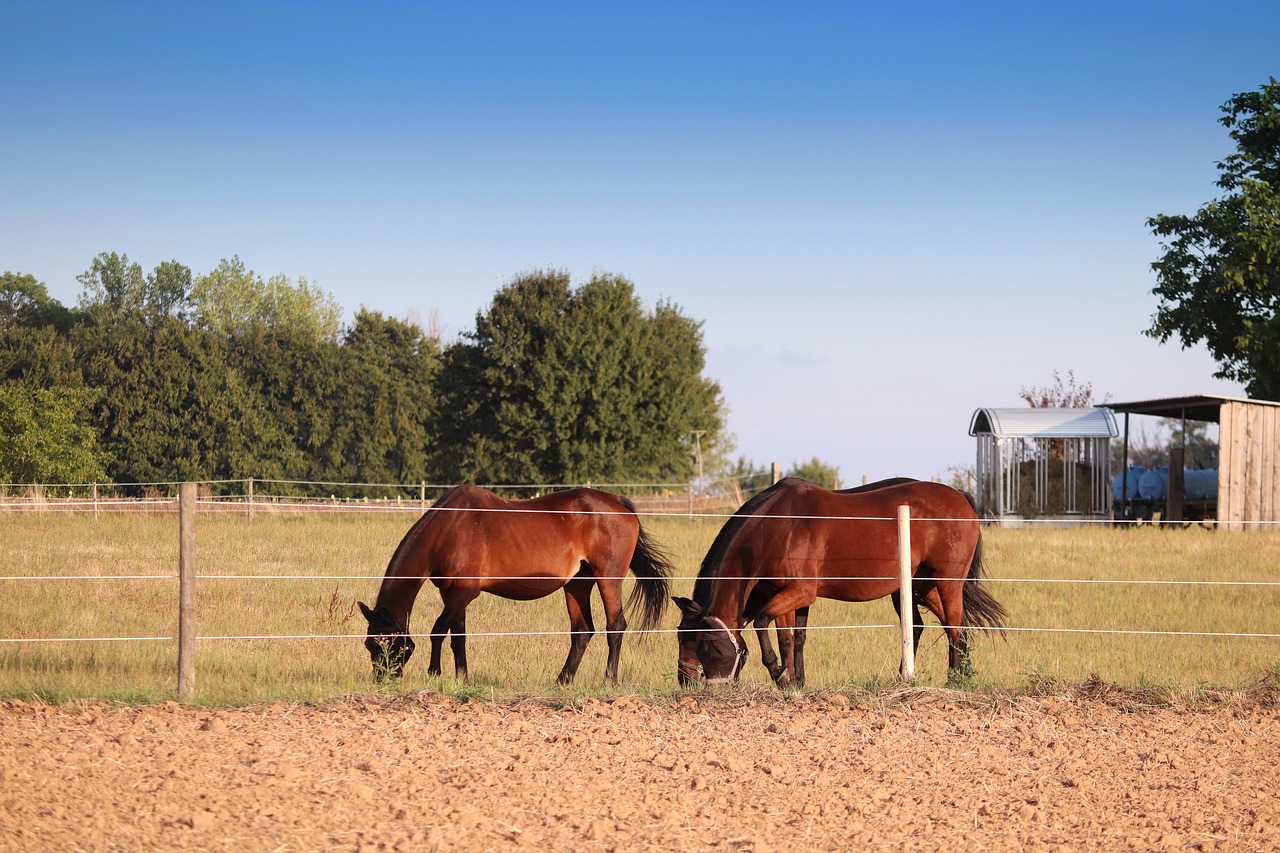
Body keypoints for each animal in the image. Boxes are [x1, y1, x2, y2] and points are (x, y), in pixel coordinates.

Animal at [360, 484, 675, 686]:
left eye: (386, 643)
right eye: (369, 644)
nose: (383, 679)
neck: (449, 527)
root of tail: (619, 503)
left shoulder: (464, 593)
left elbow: (438, 631)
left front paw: (434, 673)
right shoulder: (452, 594)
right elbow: (457, 637)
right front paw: (462, 679)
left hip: (608, 577)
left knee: (615, 627)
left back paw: (609, 681)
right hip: (577, 584)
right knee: (582, 631)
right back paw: (562, 680)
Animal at [675, 473, 1003, 686]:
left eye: (706, 645)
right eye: (681, 637)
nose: (686, 681)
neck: (778, 526)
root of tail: (961, 496)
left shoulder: (799, 592)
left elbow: (762, 622)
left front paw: (779, 674)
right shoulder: (787, 595)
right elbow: (790, 638)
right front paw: (794, 682)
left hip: (947, 583)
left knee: (955, 627)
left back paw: (954, 680)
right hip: (920, 587)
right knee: (944, 627)